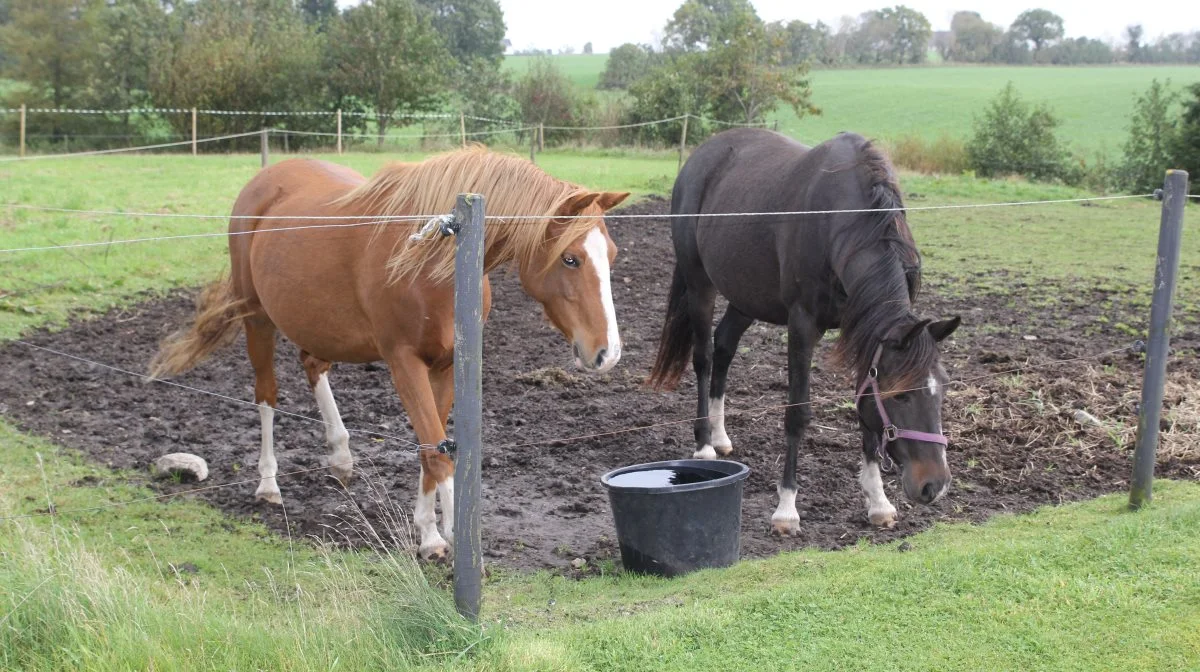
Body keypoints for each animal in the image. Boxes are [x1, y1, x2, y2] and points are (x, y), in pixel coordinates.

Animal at [150, 148, 628, 561]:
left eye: (612, 256)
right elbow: (437, 453)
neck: (436, 259)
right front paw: (449, 536)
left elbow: (431, 447)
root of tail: (264, 181)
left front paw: (428, 532)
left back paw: (341, 457)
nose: (607, 353)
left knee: (313, 366)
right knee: (266, 395)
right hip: (257, 318)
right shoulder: (404, 364)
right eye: (570, 259)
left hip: (316, 323)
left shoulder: (445, 365)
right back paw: (269, 485)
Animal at [652, 127, 960, 535]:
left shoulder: (864, 329)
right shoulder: (802, 324)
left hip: (746, 296)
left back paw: (720, 436)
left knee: (725, 346)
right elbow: (797, 413)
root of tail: (703, 154)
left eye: (942, 389)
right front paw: (786, 509)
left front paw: (878, 502)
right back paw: (704, 444)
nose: (933, 485)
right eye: (901, 396)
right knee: (703, 357)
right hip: (699, 282)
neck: (841, 220)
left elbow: (865, 408)